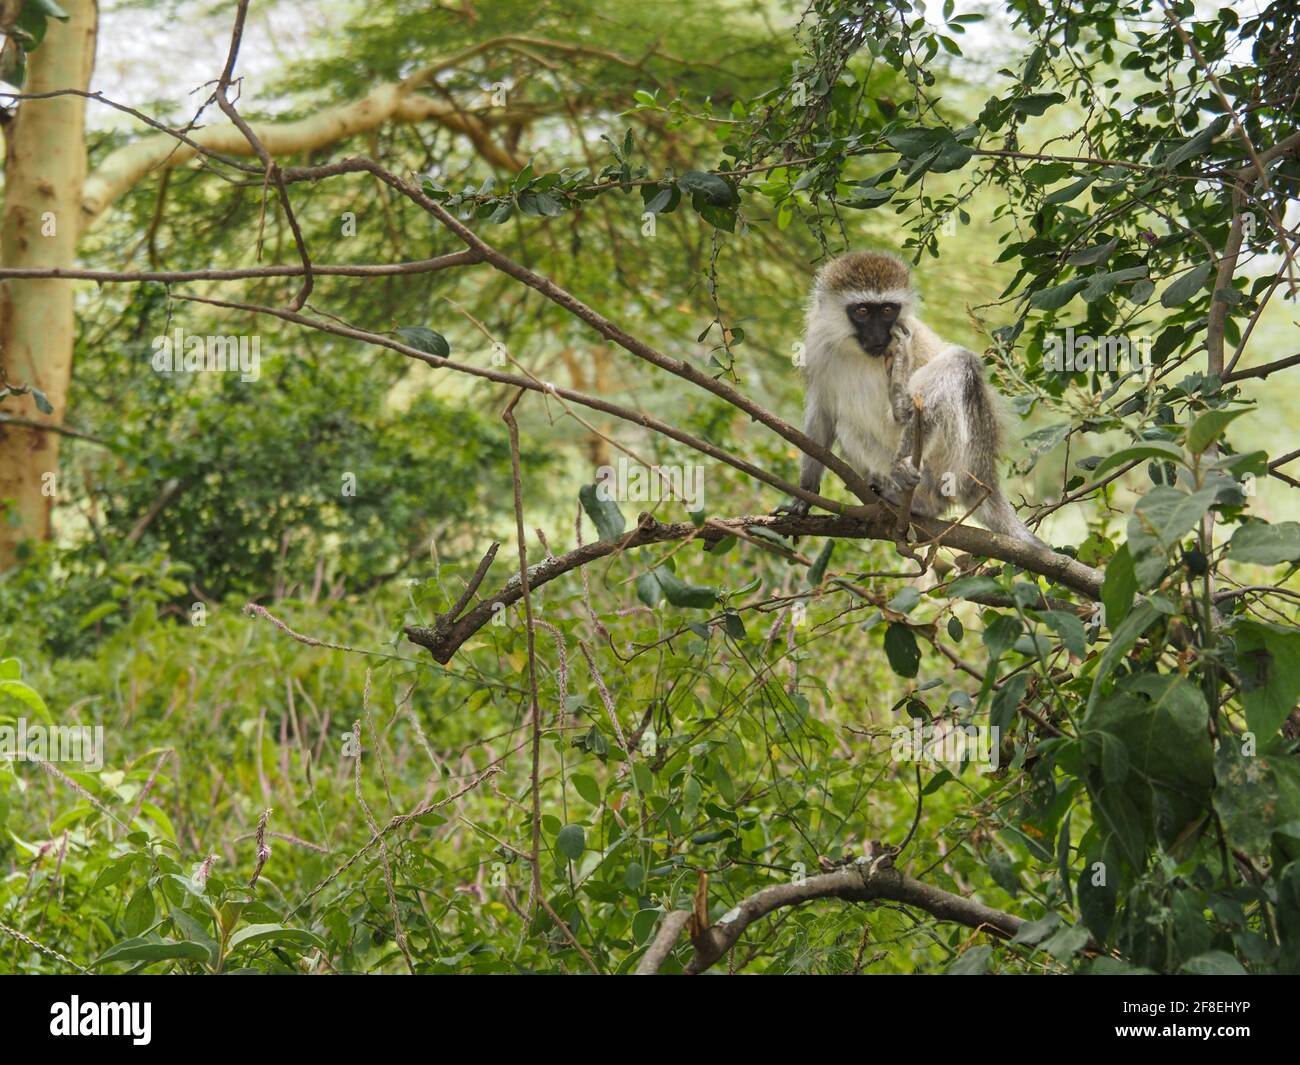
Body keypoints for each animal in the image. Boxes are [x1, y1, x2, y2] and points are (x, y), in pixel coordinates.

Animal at [780, 252, 1045, 548]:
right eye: (862, 311)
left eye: (887, 310)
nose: (879, 336)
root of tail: (983, 476)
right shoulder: (817, 348)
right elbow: (822, 414)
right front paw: (804, 495)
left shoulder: (913, 334)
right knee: (846, 425)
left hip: (951, 464)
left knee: (960, 363)